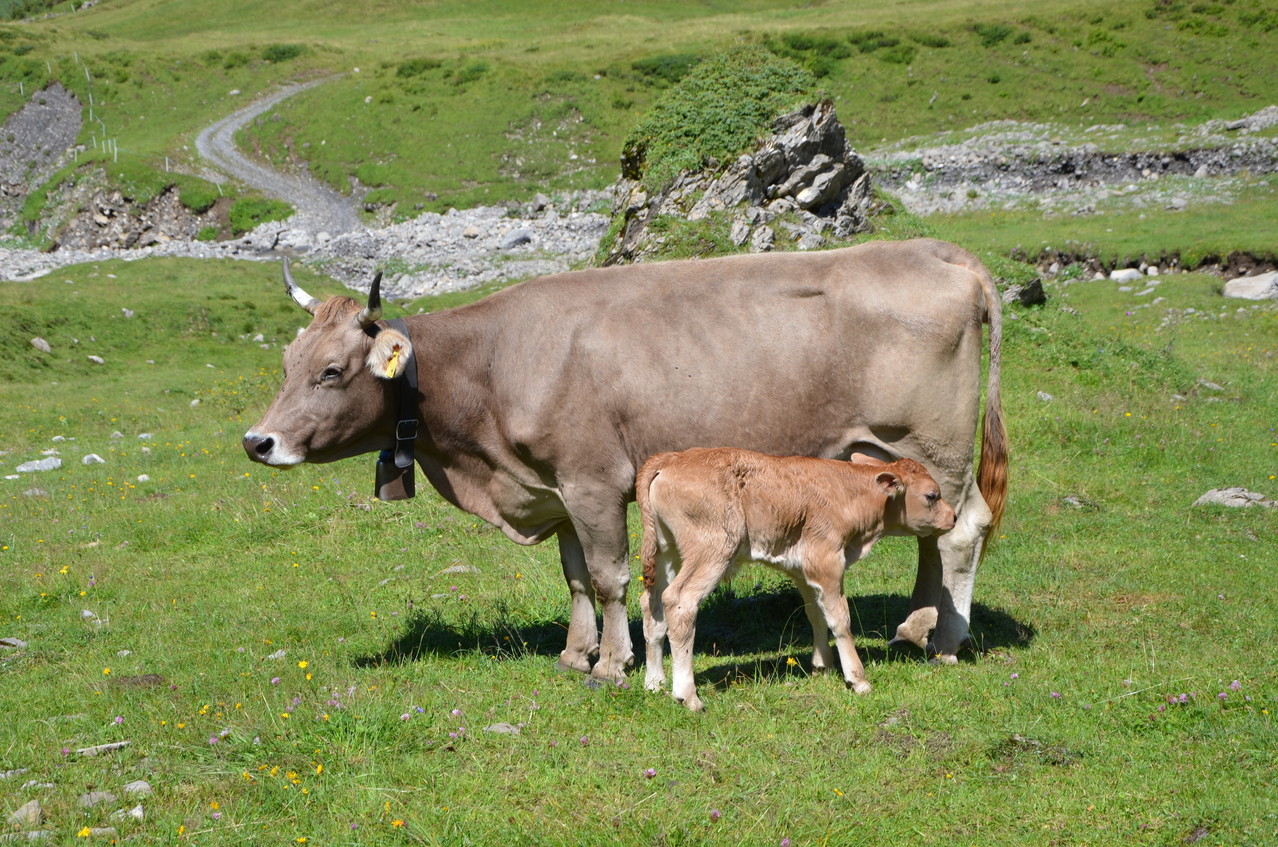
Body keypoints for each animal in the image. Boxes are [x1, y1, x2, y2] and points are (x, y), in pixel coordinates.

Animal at [633, 447, 955, 710]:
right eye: (932, 495)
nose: (952, 517)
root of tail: (670, 458)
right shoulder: (826, 561)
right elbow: (840, 618)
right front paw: (857, 679)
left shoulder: (803, 569)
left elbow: (816, 614)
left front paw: (822, 666)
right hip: (711, 549)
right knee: (680, 602)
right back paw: (687, 695)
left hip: (666, 552)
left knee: (652, 605)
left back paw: (654, 682)